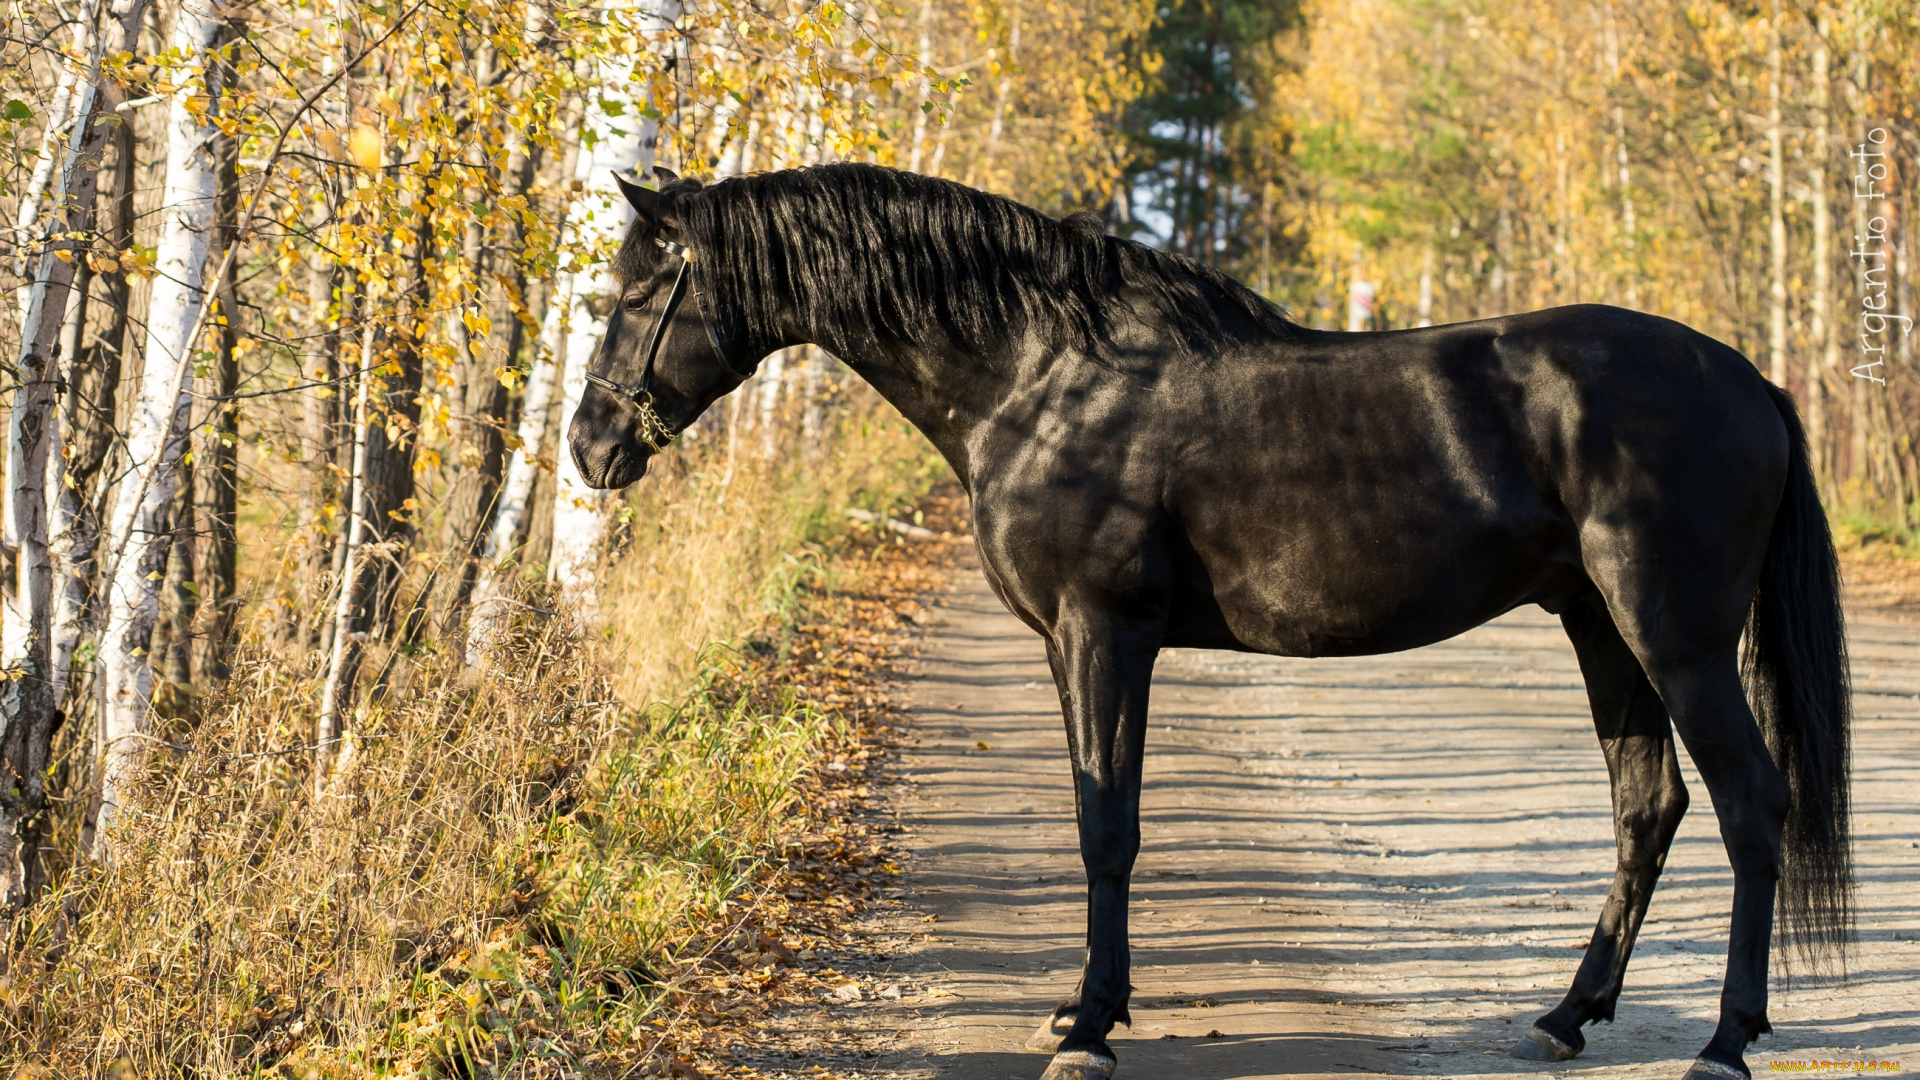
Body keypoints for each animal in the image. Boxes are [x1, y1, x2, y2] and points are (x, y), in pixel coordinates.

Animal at [564, 161, 1843, 1076]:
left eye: (638, 293)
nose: (588, 447)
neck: (1042, 378)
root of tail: (1751, 381)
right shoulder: (1079, 645)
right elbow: (1102, 815)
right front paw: (1085, 1011)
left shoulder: (1102, 634)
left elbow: (1107, 826)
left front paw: (1088, 1025)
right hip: (1599, 627)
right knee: (1648, 808)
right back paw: (1569, 1015)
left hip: (1674, 637)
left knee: (1751, 805)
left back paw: (1726, 1043)